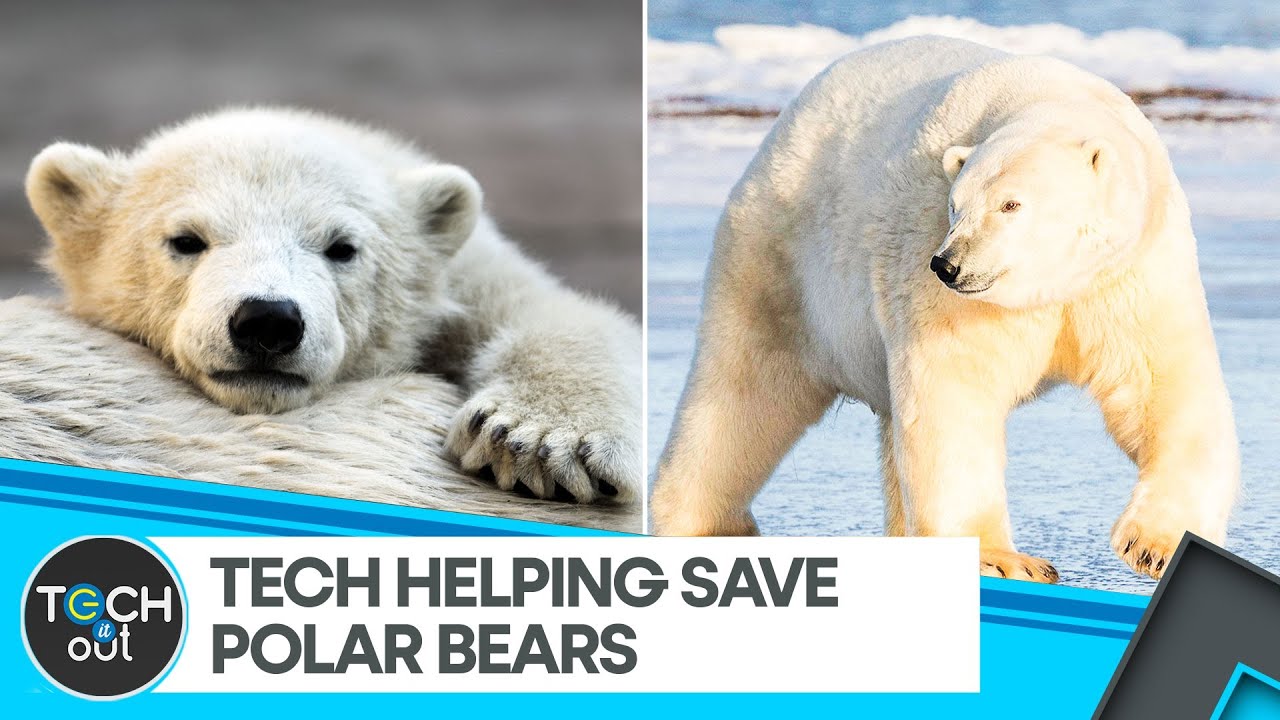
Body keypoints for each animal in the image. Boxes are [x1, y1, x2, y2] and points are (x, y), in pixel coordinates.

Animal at [25, 107, 641, 505]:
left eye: (342, 247)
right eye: (185, 240)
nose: (267, 320)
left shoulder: (467, 277)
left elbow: (553, 313)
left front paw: (539, 442)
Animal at [650, 36, 1239, 582]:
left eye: (1010, 204)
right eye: (957, 206)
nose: (948, 264)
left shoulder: (1128, 273)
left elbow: (1164, 390)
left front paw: (1154, 546)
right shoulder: (932, 271)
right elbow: (953, 396)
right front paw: (1004, 560)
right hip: (782, 257)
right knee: (744, 389)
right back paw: (711, 525)